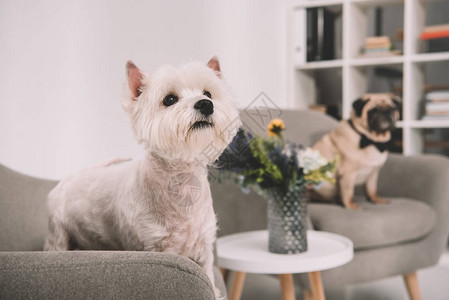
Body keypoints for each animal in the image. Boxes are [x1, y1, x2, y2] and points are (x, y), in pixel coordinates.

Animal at [45, 56, 240, 298]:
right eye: (170, 99)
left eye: (208, 93)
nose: (205, 104)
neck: (182, 181)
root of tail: (67, 179)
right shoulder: (155, 245)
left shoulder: (203, 249)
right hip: (58, 234)